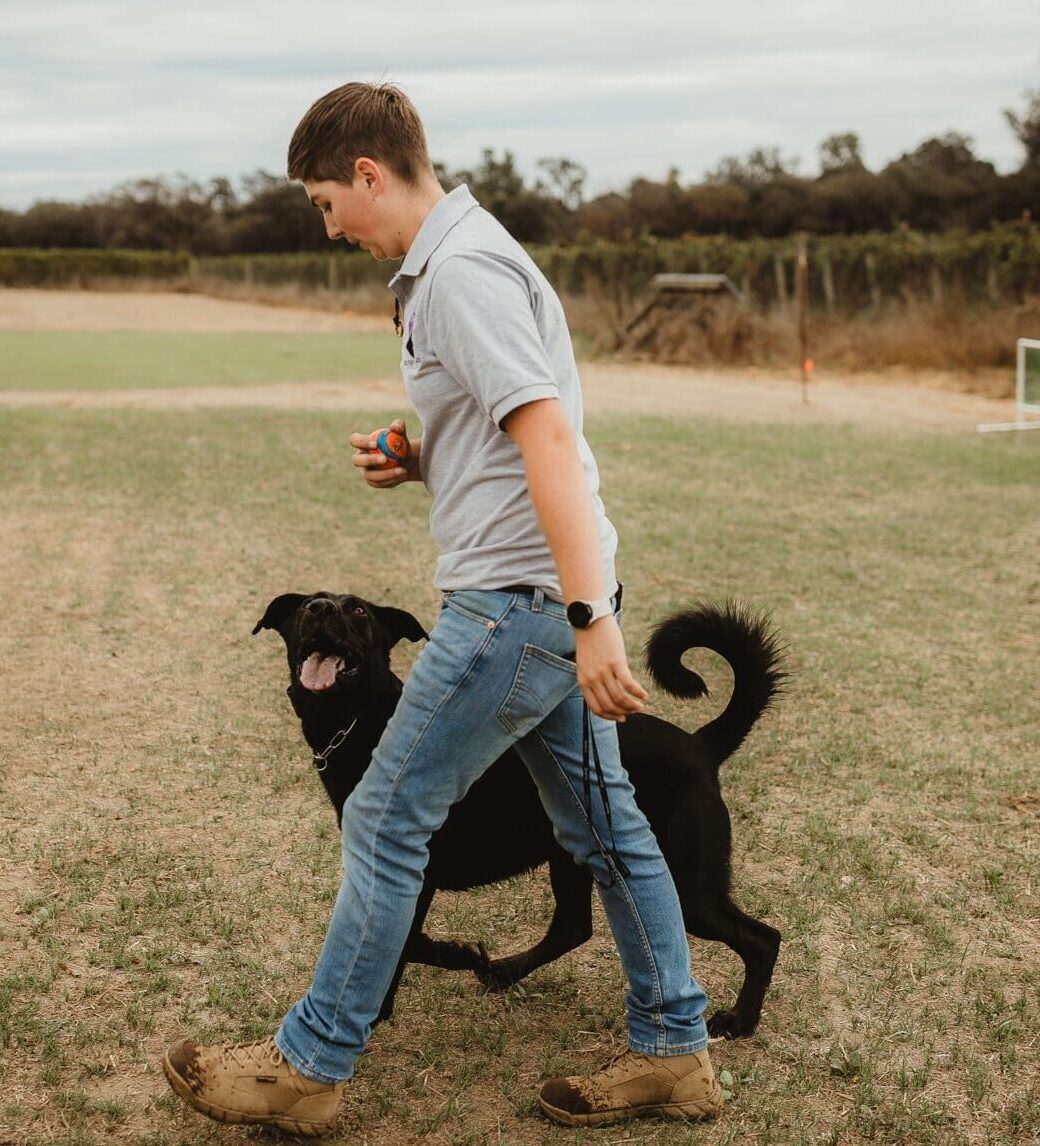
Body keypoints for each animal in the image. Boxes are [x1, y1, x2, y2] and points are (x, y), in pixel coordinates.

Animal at [254, 591, 778, 1040]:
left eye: (359, 611)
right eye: (304, 605)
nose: (321, 609)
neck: (360, 720)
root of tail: (701, 745)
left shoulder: (409, 870)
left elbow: (402, 942)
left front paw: (441, 966)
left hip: (686, 885)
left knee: (763, 938)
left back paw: (740, 1021)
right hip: (575, 858)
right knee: (572, 928)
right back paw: (505, 971)